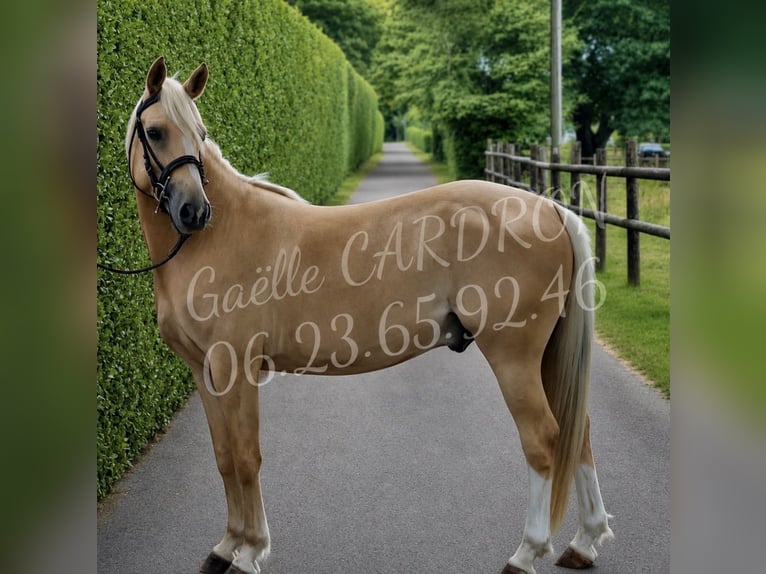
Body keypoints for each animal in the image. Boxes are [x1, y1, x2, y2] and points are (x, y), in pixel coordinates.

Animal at [119, 56, 613, 574]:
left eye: (200, 131)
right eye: (155, 132)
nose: (193, 211)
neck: (221, 235)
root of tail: (550, 208)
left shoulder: (236, 367)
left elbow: (245, 456)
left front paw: (249, 550)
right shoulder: (204, 371)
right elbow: (223, 456)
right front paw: (225, 546)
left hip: (514, 358)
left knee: (543, 439)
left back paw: (526, 552)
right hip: (546, 357)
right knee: (578, 435)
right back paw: (583, 543)